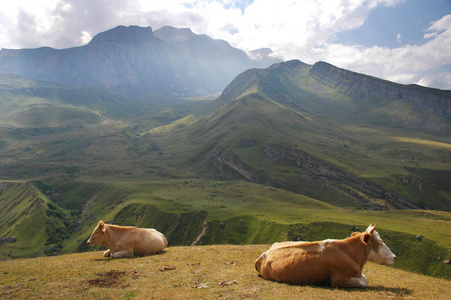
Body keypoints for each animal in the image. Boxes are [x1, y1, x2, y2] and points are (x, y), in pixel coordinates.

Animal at [256, 224, 398, 288]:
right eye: (379, 242)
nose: (394, 257)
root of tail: (264, 253)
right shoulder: (338, 279)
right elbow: (364, 282)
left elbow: (364, 277)